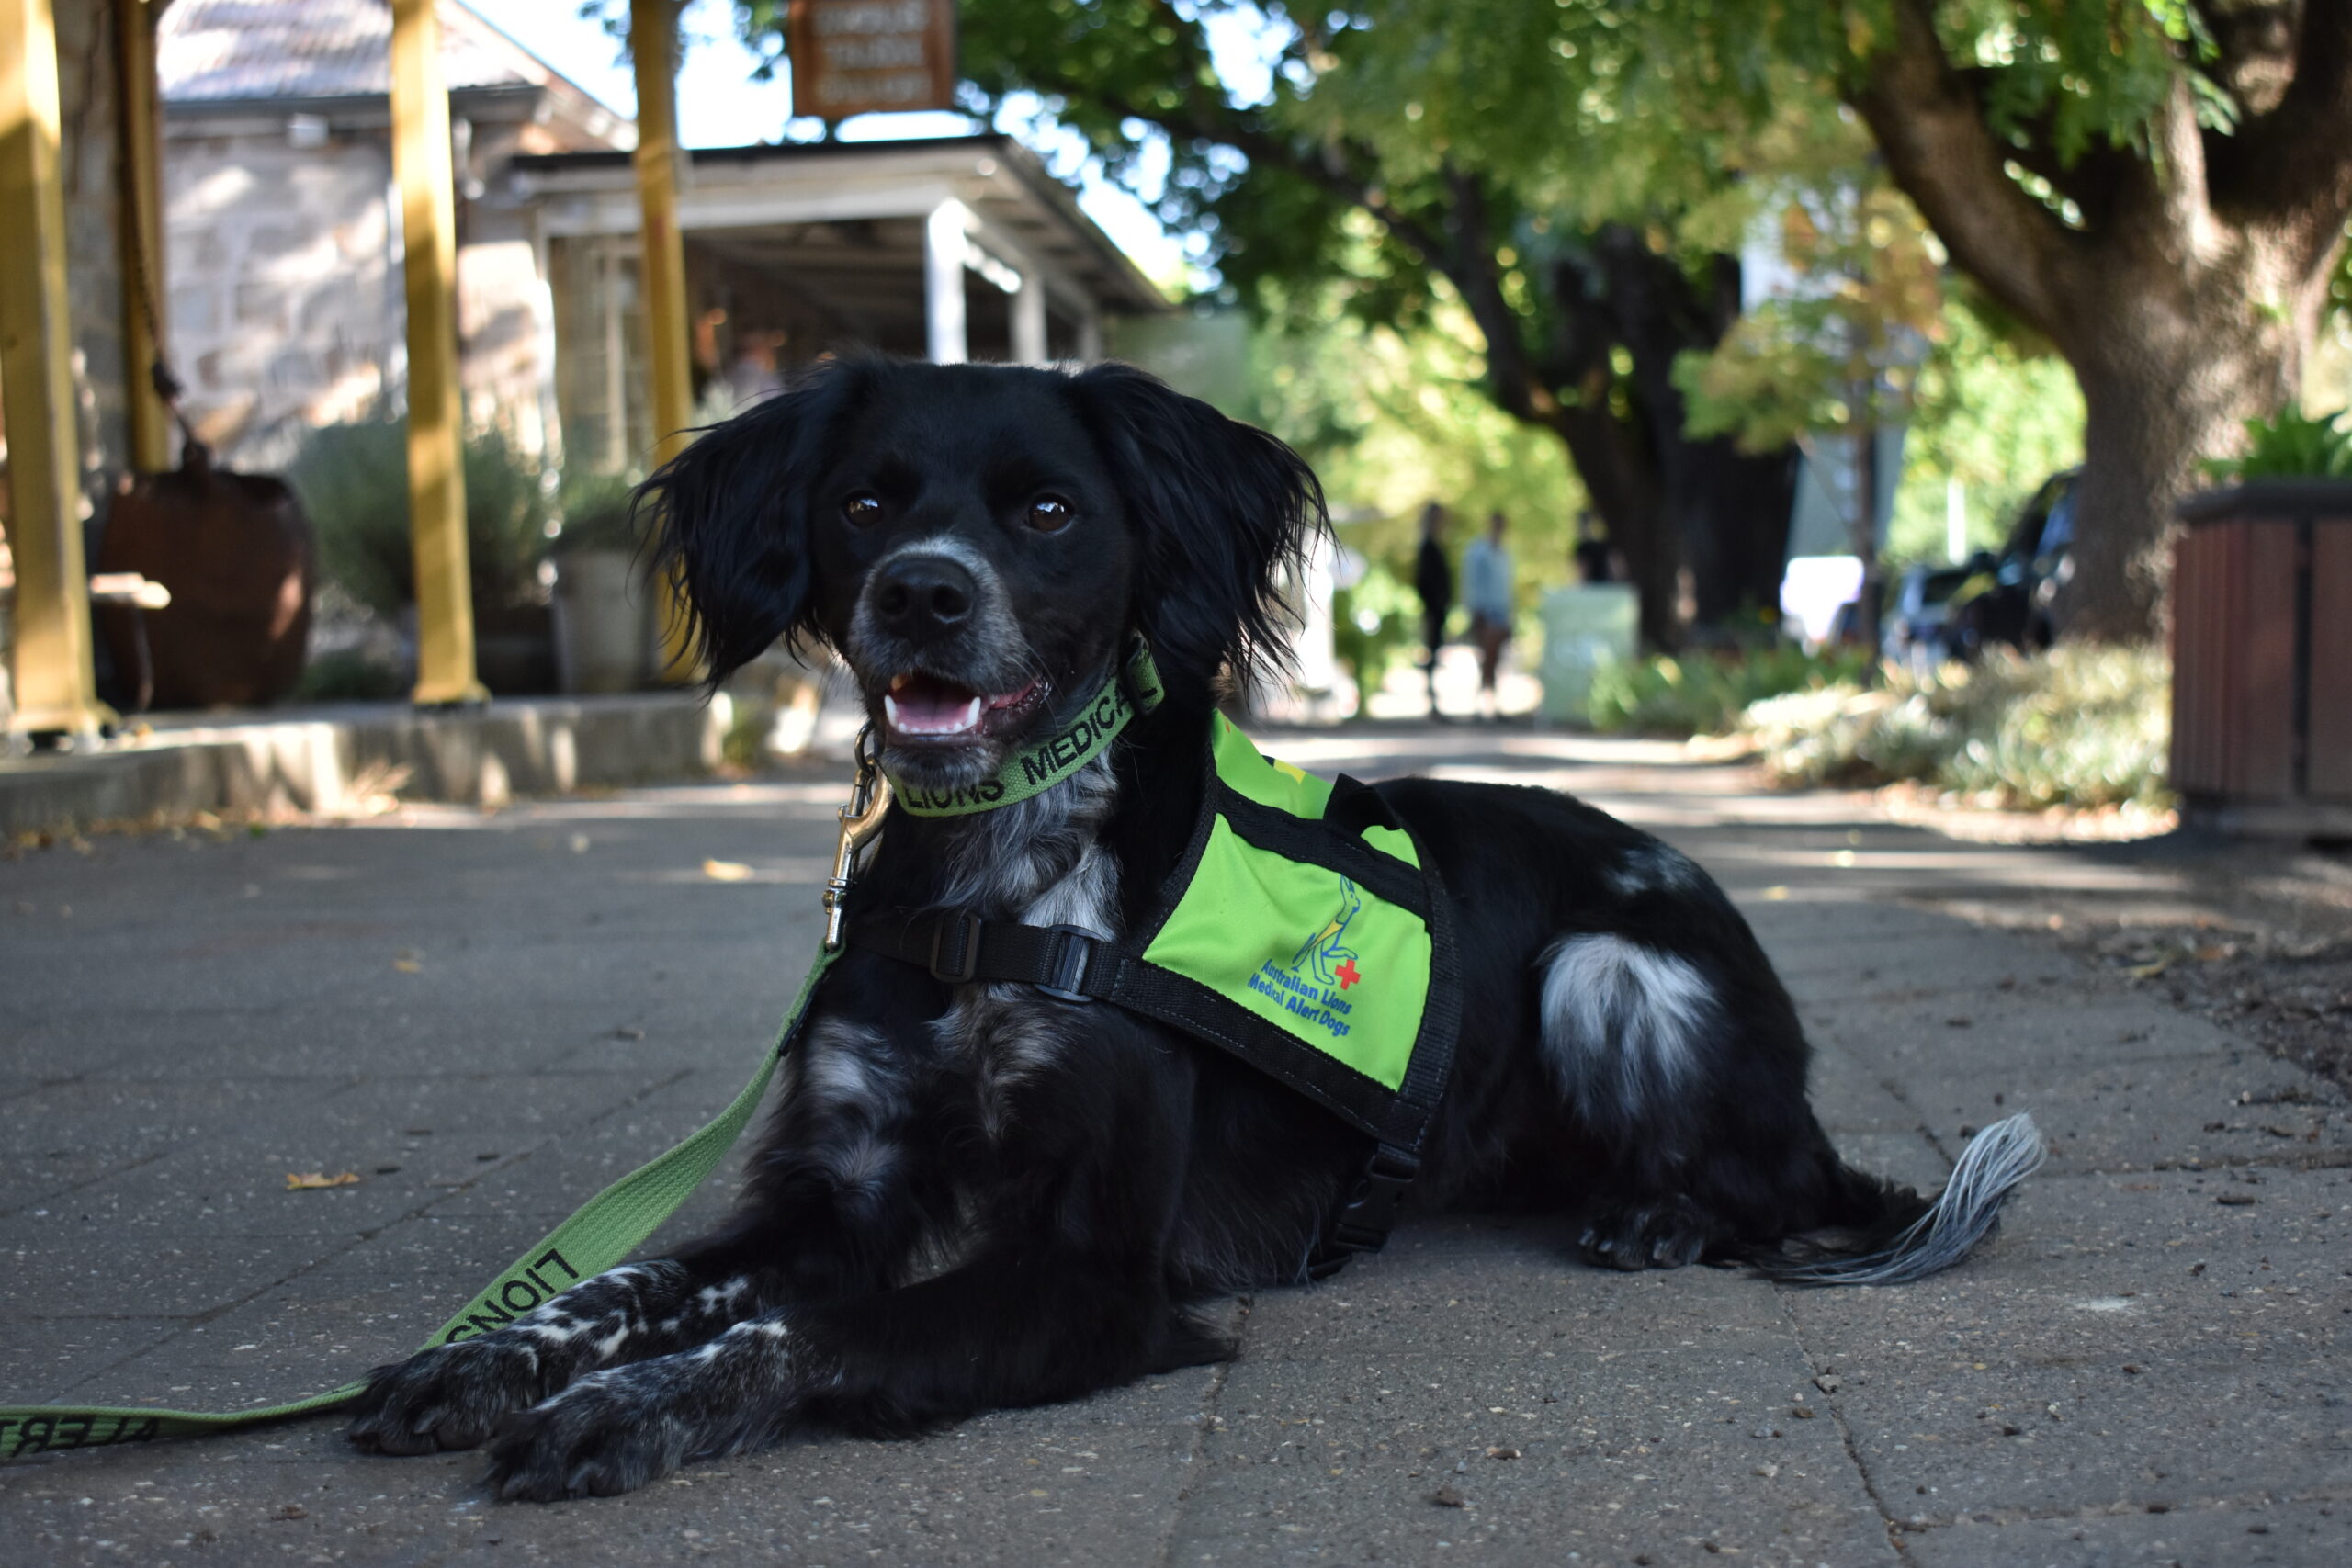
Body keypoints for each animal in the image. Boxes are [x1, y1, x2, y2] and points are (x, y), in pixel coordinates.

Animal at [343, 355, 2041, 1495]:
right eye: (864, 501)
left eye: (1045, 509)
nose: (921, 593)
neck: (995, 894)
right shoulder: (841, 1187)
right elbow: (631, 1284)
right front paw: (479, 1358)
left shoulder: (1090, 1274)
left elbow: (802, 1336)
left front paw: (617, 1410)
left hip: (1608, 967)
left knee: (1772, 1185)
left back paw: (1663, 1212)